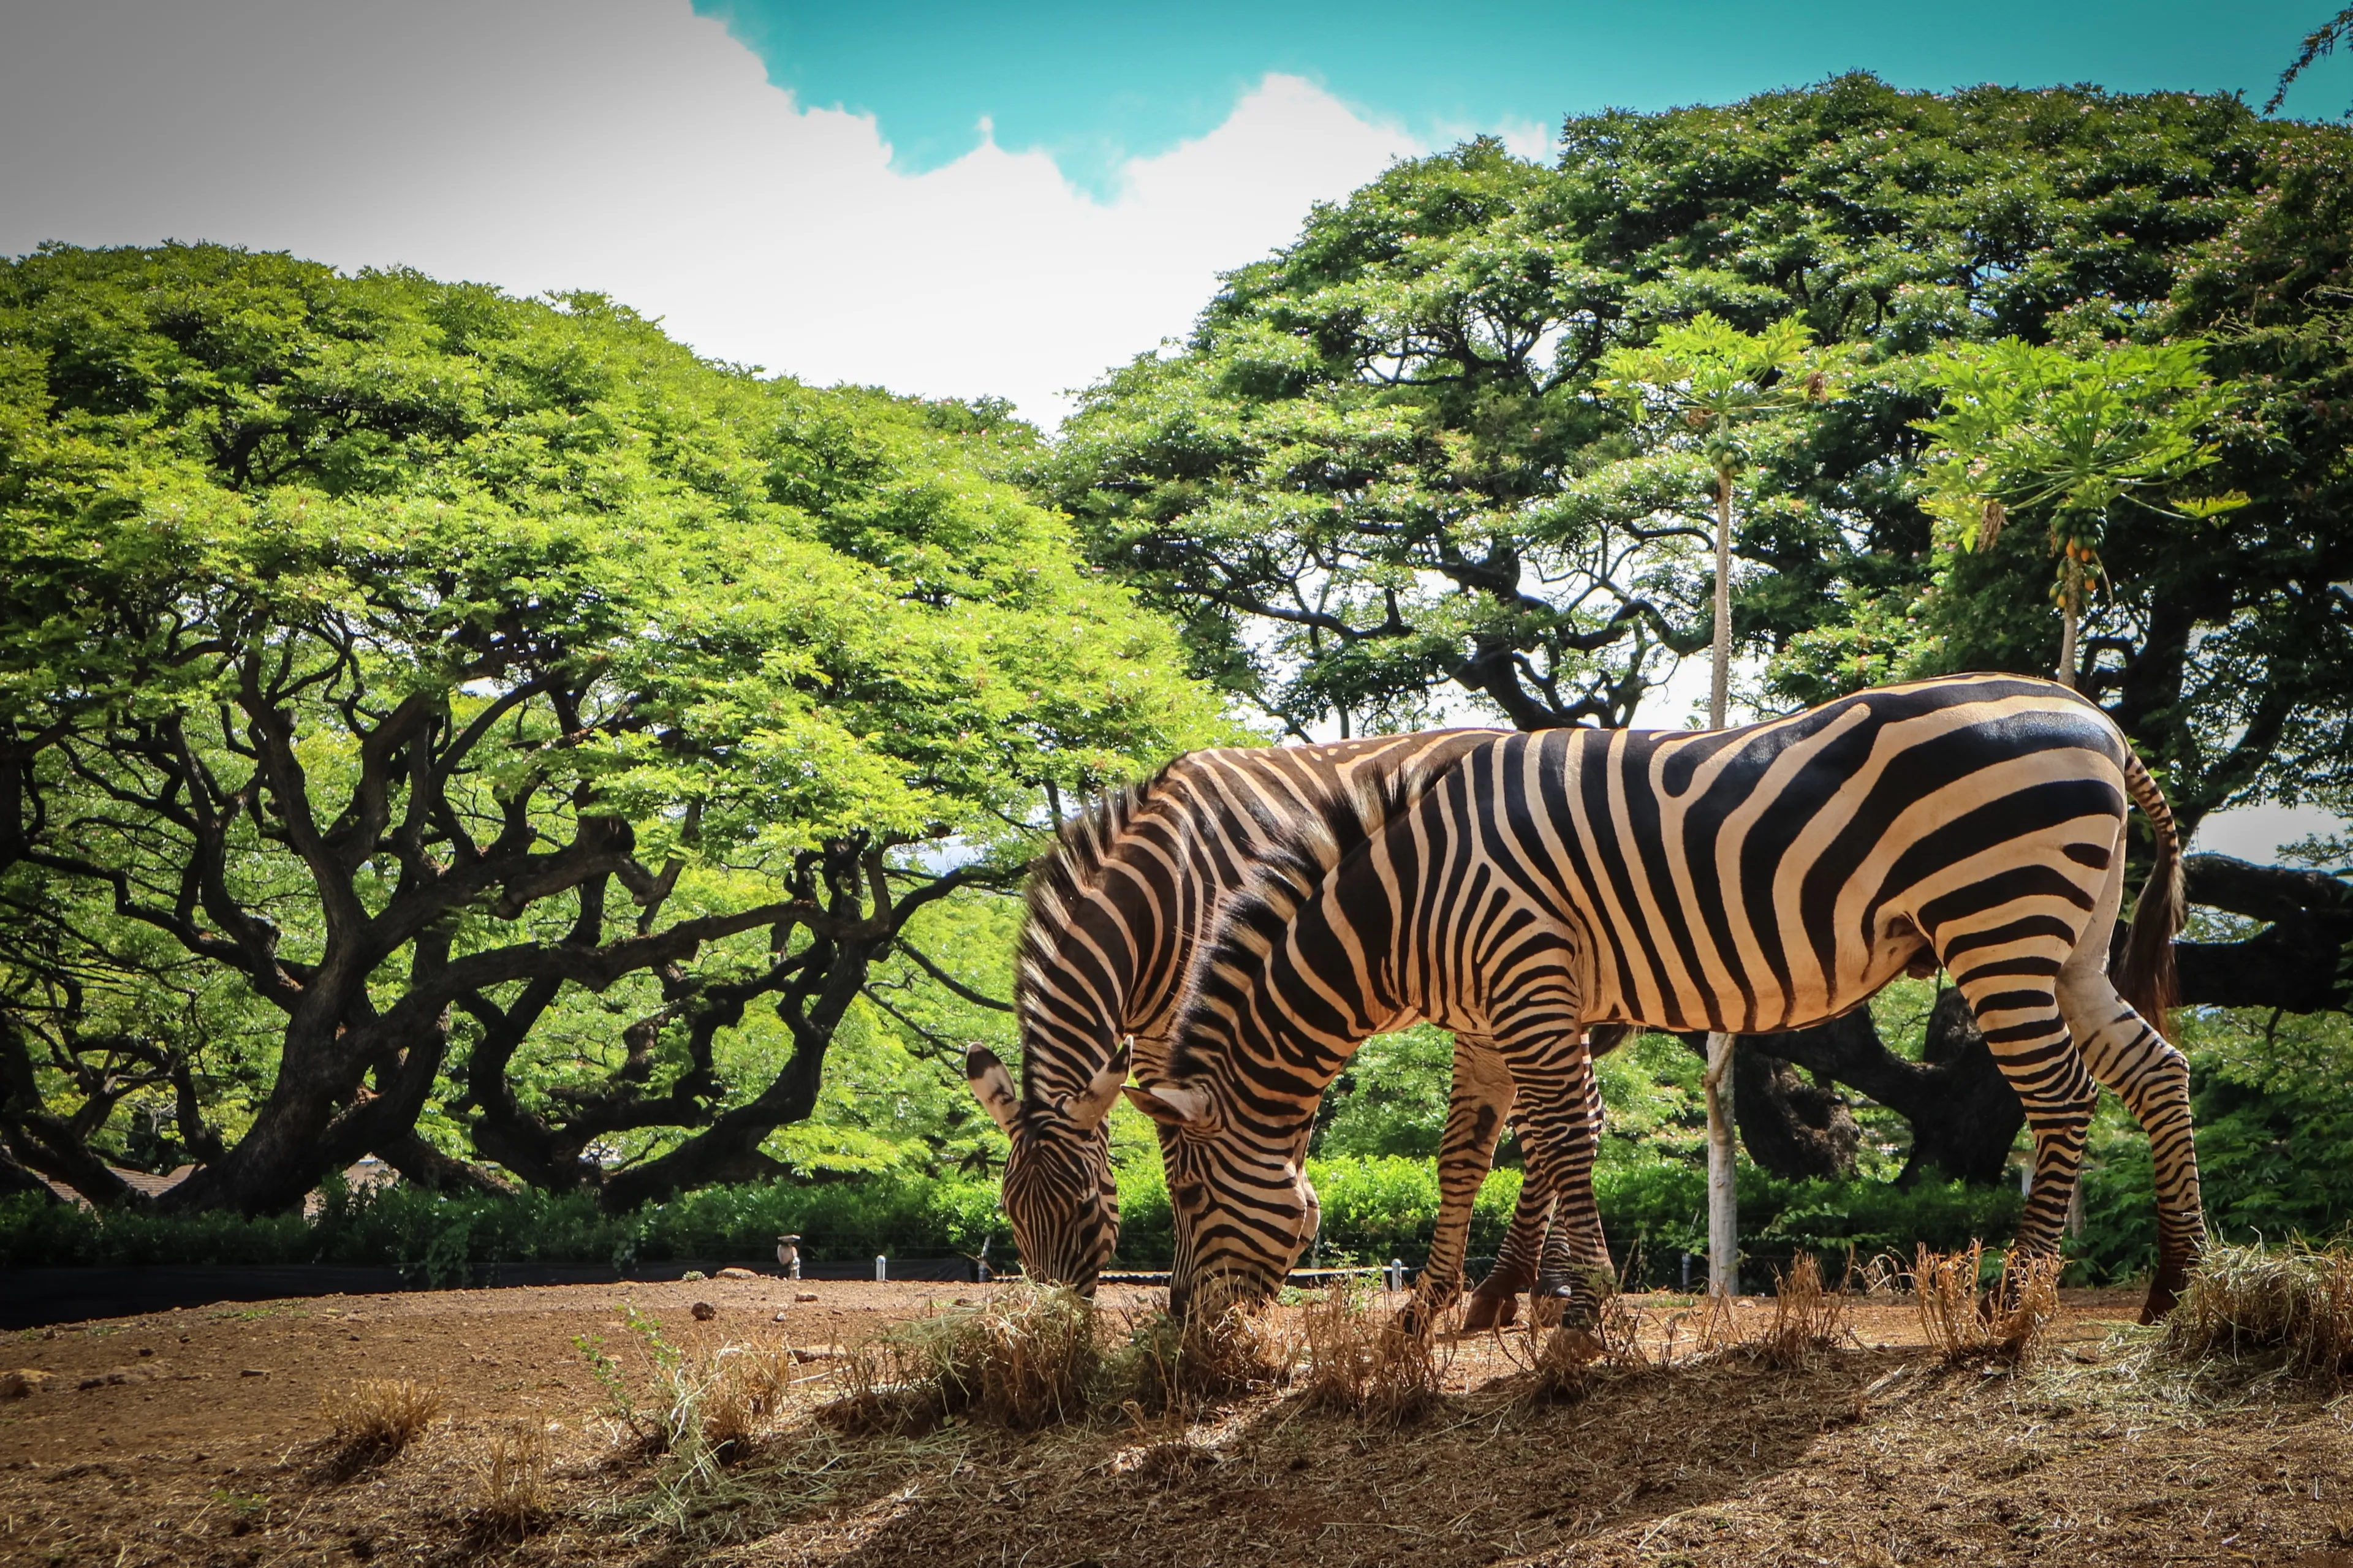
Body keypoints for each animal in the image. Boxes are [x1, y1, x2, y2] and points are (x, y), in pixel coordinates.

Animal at [964, 731, 1606, 1316]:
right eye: (1009, 1214)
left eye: (1086, 1208)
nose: (1052, 1323)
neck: (1160, 891)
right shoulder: (1154, 1035)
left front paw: (1288, 1230)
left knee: (1574, 1122)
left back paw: (1546, 1285)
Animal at [1128, 675, 2199, 1329]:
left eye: (1189, 1195)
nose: (1190, 1328)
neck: (1407, 898)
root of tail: (2097, 720)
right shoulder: (1488, 1015)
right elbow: (1463, 1156)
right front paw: (1430, 1311)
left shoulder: (1526, 975)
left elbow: (1562, 1139)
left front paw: (1581, 1311)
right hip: (2072, 939)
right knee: (2156, 1069)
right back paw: (2174, 1284)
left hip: (1998, 918)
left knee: (2062, 1095)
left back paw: (2014, 1300)